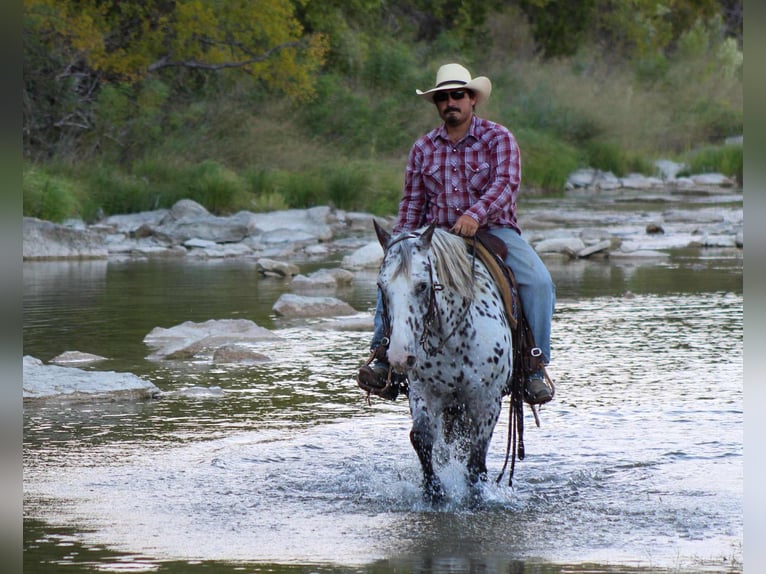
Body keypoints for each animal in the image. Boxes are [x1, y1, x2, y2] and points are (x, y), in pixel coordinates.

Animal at [373, 220, 514, 501]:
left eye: (422, 286)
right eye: (382, 287)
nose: (399, 356)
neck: (452, 339)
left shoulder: (487, 401)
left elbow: (476, 460)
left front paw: (475, 497)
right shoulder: (423, 392)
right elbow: (422, 438)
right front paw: (434, 492)